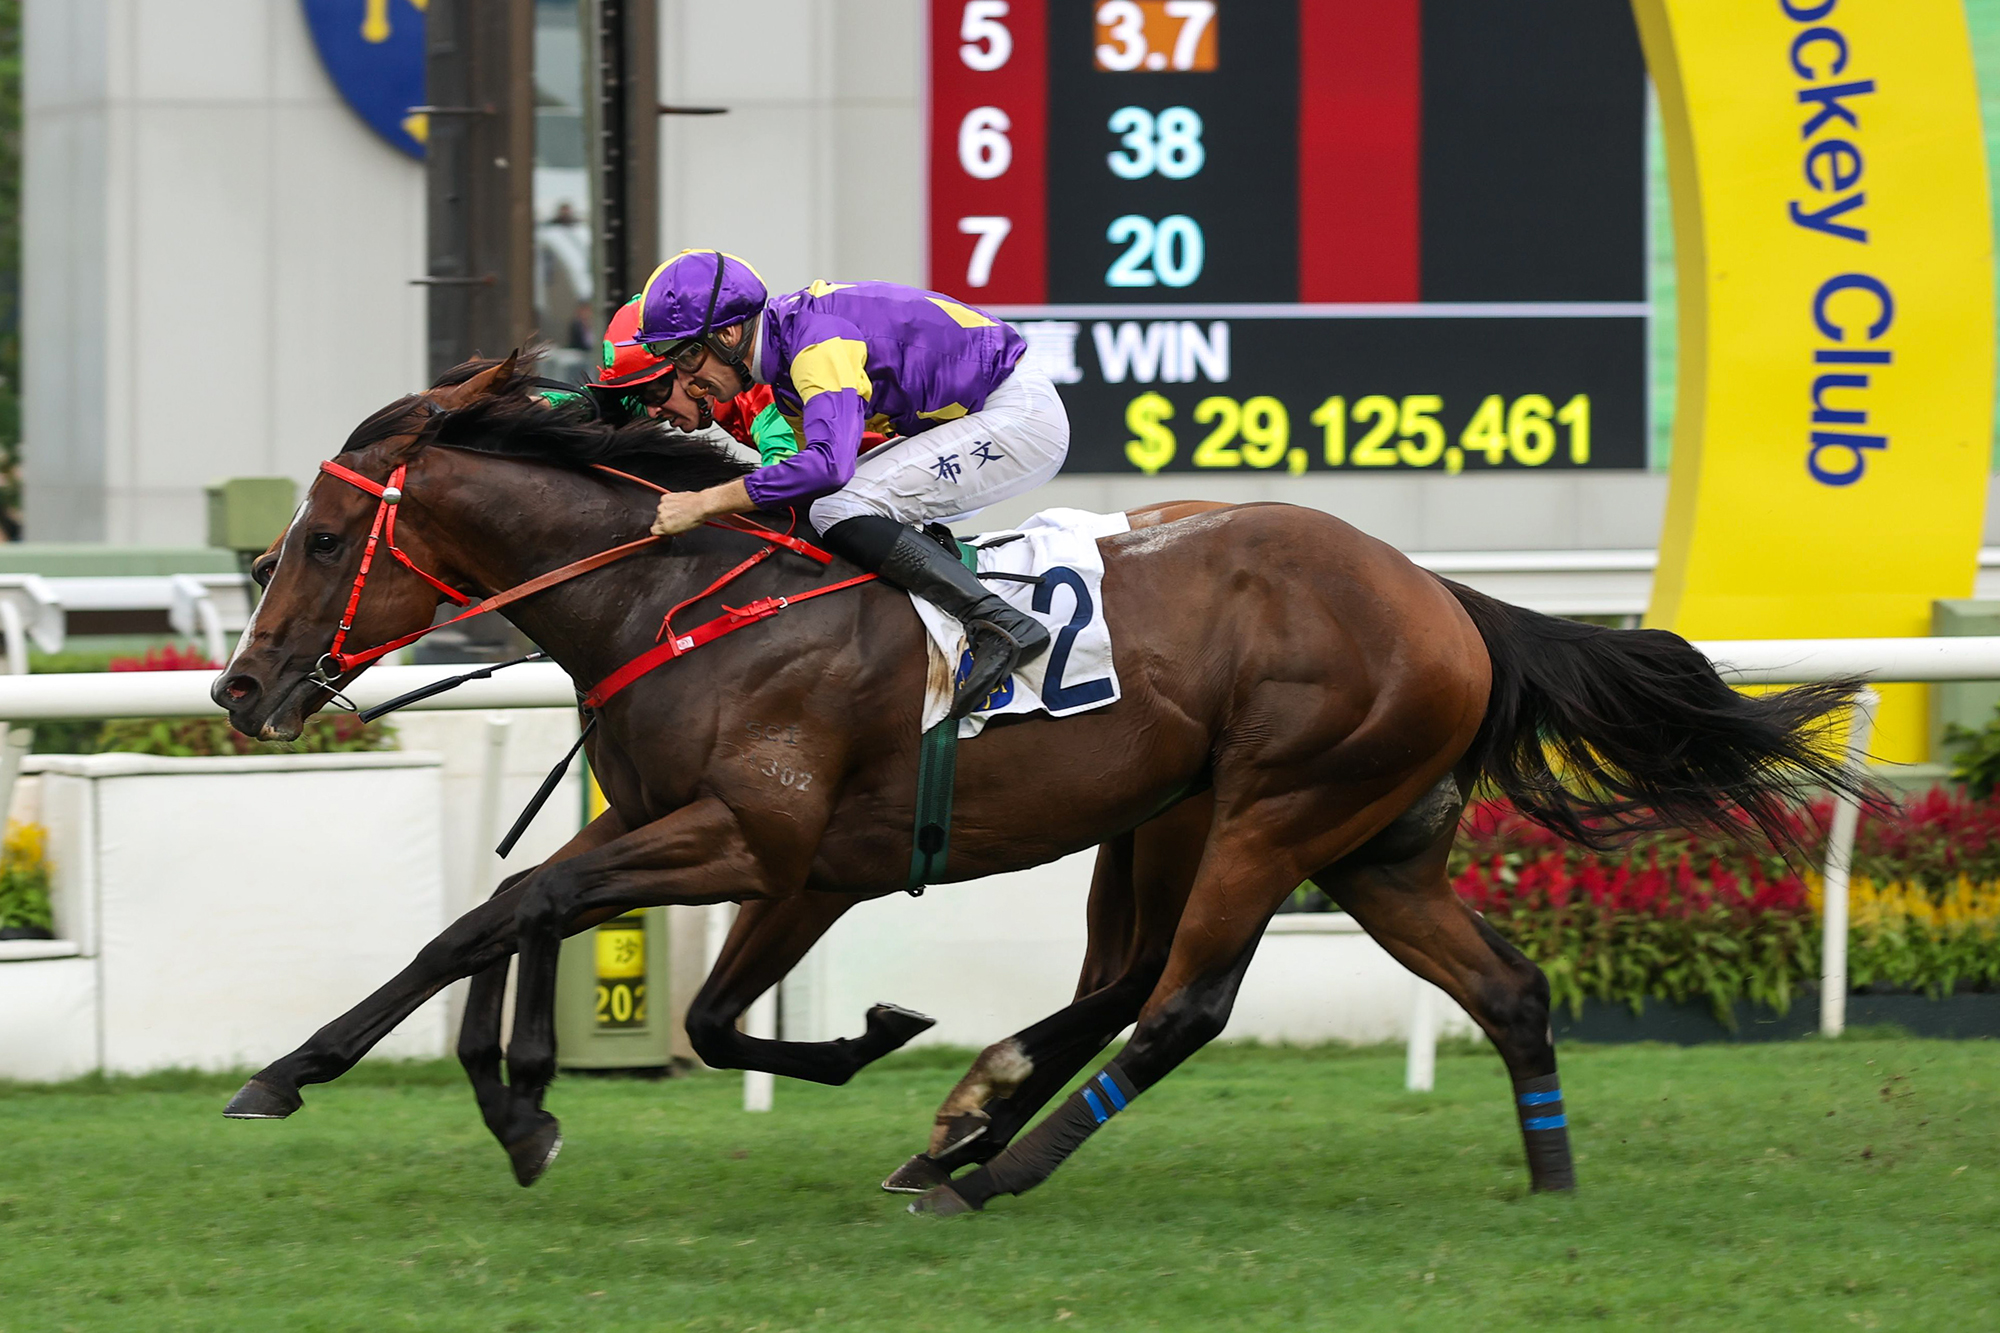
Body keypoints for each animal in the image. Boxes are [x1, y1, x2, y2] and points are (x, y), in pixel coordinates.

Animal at [214, 355, 1866, 1214]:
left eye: (316, 540)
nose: (240, 690)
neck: (671, 598)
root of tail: (1442, 597)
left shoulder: (758, 840)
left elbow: (542, 918)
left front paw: (356, 1080)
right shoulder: (742, 848)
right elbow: (534, 919)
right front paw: (499, 1099)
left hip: (1276, 806)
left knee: (1185, 1001)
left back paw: (985, 1165)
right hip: (1318, 837)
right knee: (1490, 987)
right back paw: (1547, 1176)